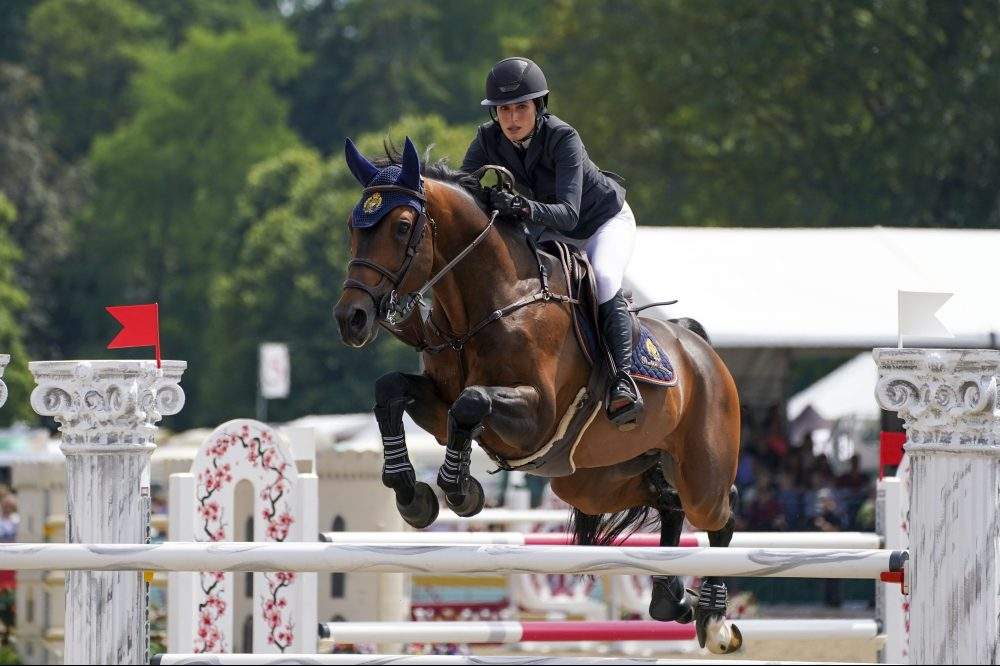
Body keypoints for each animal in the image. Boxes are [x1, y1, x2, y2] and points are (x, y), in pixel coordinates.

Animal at [333, 137, 743, 653]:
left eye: (402, 226)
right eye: (354, 226)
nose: (352, 319)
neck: (490, 303)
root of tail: (700, 348)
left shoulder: (536, 416)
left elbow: (472, 402)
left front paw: (460, 492)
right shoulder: (438, 402)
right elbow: (392, 390)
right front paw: (412, 495)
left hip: (700, 471)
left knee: (719, 517)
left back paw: (714, 619)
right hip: (593, 481)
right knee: (666, 501)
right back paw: (671, 598)